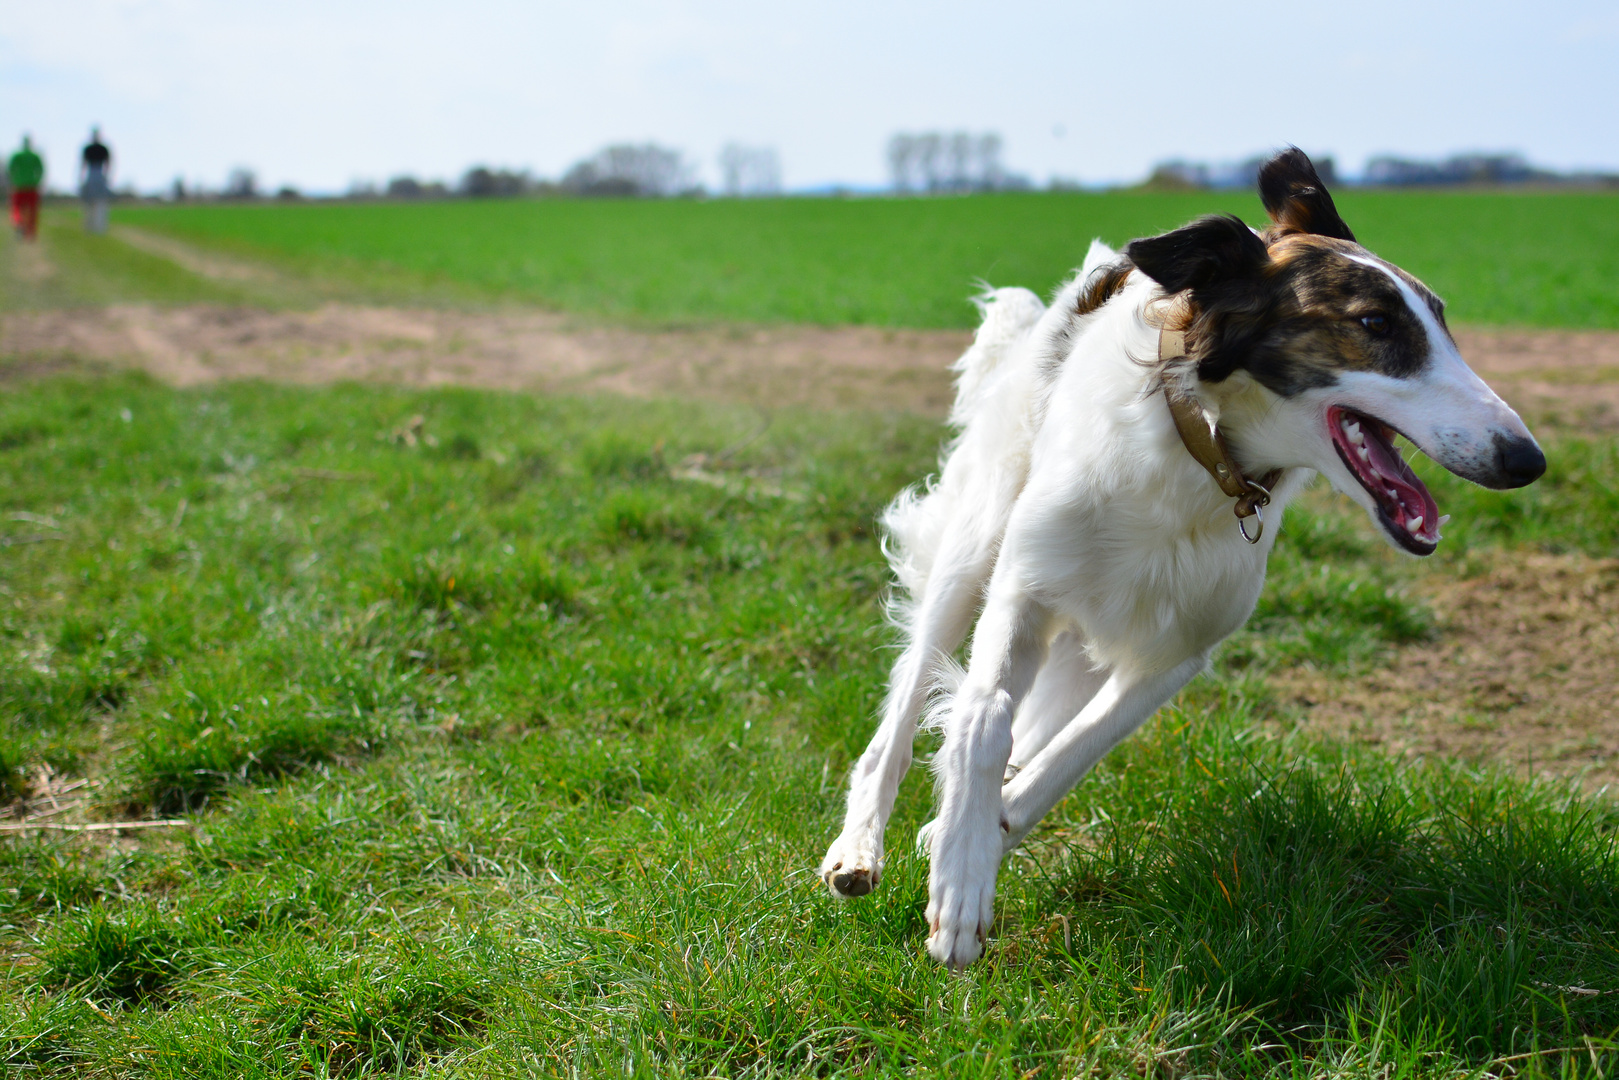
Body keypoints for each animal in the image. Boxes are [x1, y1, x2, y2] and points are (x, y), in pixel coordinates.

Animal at [822, 148, 1541, 965]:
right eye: (1374, 323)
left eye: (1443, 323)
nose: (1527, 460)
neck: (1197, 452)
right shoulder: (1026, 588)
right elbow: (981, 716)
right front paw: (960, 888)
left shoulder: (1173, 652)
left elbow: (1065, 758)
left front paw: (975, 837)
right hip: (972, 553)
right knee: (899, 723)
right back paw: (858, 848)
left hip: (1083, 638)